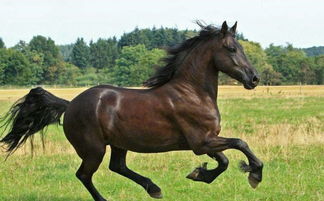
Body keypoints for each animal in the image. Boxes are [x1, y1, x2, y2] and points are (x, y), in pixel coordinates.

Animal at [0, 21, 264, 200]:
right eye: (231, 49)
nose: (254, 78)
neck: (192, 93)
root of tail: (70, 104)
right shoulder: (201, 142)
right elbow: (240, 143)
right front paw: (254, 175)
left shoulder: (205, 141)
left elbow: (225, 160)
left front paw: (200, 173)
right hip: (94, 149)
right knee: (84, 175)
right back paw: (112, 197)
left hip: (118, 144)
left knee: (117, 167)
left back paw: (154, 188)